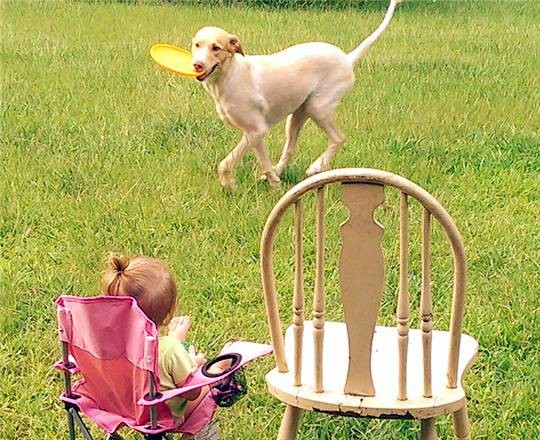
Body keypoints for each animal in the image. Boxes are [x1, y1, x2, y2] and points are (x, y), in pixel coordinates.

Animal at [192, 0, 398, 189]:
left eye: (216, 48)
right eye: (197, 45)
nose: (197, 65)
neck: (229, 76)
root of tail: (347, 59)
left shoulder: (257, 130)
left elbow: (225, 163)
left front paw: (228, 184)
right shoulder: (255, 133)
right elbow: (264, 161)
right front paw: (275, 184)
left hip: (317, 107)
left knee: (339, 138)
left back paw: (317, 166)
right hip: (297, 114)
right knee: (291, 148)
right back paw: (281, 172)